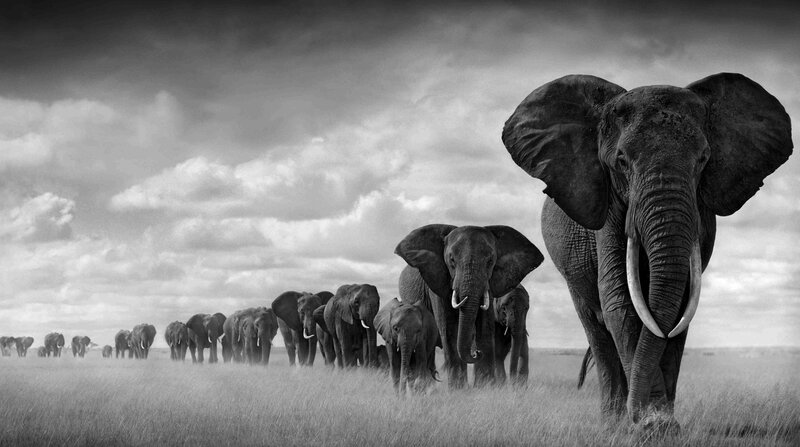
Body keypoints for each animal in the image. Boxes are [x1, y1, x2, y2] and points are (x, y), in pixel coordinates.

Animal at [395, 225, 544, 388]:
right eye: (451, 260)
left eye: (490, 261)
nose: (476, 353)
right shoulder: (436, 279)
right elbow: (449, 327)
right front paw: (459, 389)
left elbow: (485, 326)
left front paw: (485, 387)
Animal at [502, 73, 792, 424]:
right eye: (622, 161)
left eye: (703, 160)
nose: (641, 416)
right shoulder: (609, 207)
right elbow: (620, 301)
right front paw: (650, 424)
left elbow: (681, 305)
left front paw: (660, 422)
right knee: (596, 329)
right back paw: (613, 422)